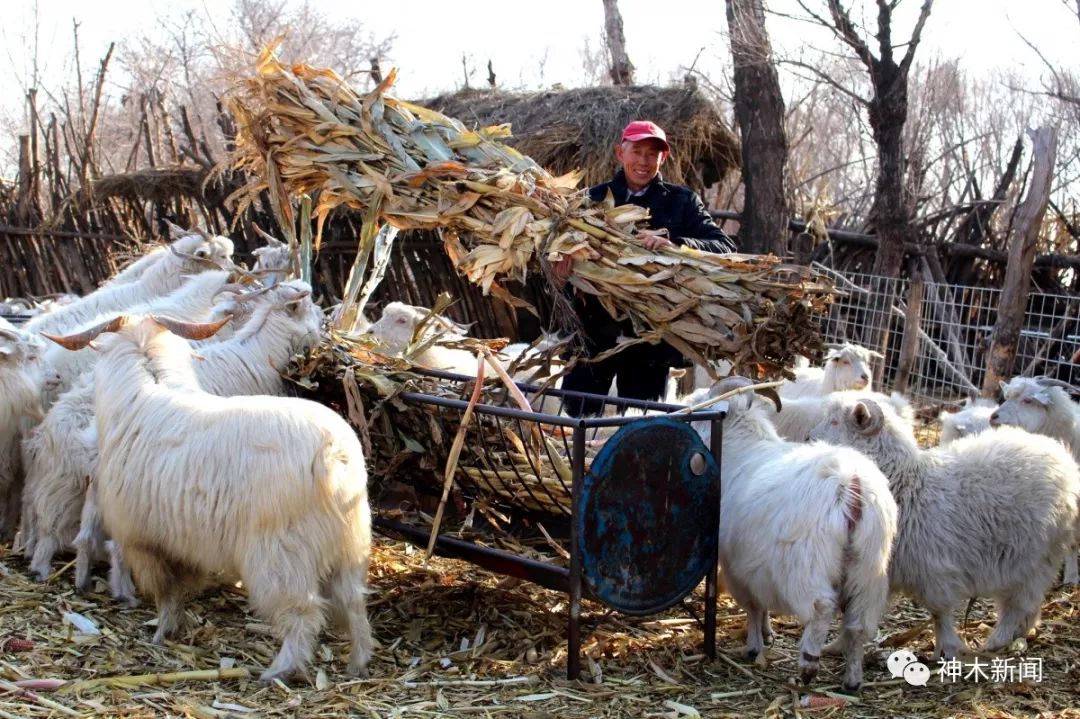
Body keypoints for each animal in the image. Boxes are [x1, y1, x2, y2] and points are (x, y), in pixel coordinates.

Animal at [49, 313, 371, 677]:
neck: (148, 385)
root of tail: (335, 453)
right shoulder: (179, 545)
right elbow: (178, 589)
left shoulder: (144, 542)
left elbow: (165, 593)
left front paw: (162, 632)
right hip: (349, 547)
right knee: (354, 603)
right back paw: (358, 663)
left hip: (281, 555)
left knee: (305, 612)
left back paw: (278, 671)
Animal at [686, 375, 898, 690]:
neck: (740, 451)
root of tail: (851, 485)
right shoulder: (756, 568)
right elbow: (760, 606)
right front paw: (766, 634)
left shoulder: (739, 567)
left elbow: (753, 607)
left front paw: (754, 646)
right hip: (869, 568)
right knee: (859, 622)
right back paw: (852, 678)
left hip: (806, 565)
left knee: (821, 608)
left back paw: (808, 665)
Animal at [812, 395, 1080, 656]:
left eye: (836, 422)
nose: (810, 438)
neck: (907, 484)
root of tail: (1063, 458)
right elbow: (852, 610)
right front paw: (836, 647)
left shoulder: (934, 568)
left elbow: (939, 612)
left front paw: (947, 648)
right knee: (1027, 603)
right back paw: (1021, 634)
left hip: (1036, 558)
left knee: (1019, 602)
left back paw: (998, 640)